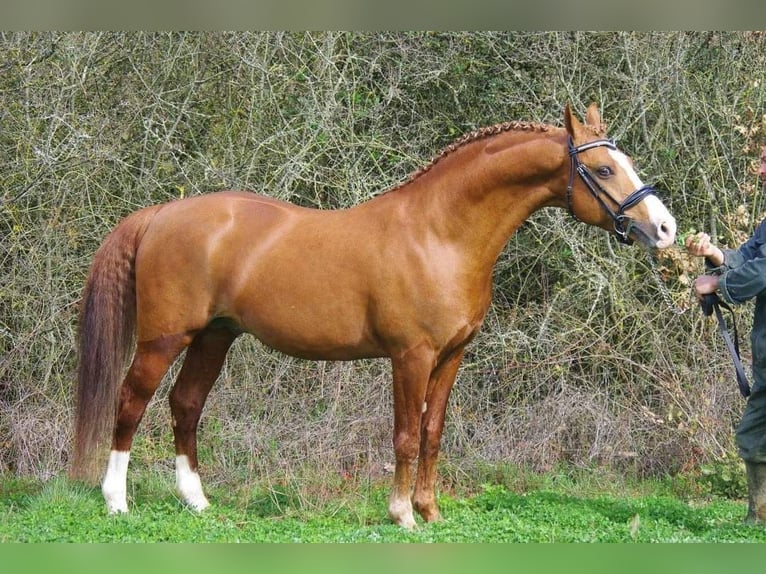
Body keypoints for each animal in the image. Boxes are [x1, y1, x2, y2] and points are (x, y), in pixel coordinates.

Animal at [71, 103, 676, 529]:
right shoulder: (411, 356)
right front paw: (402, 514)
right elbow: (405, 434)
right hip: (163, 338)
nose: (666, 229)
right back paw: (116, 501)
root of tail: (159, 214)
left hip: (215, 337)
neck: (439, 233)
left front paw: (431, 511)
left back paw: (197, 502)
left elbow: (433, 432)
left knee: (186, 405)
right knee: (131, 403)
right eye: (604, 168)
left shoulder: (452, 355)